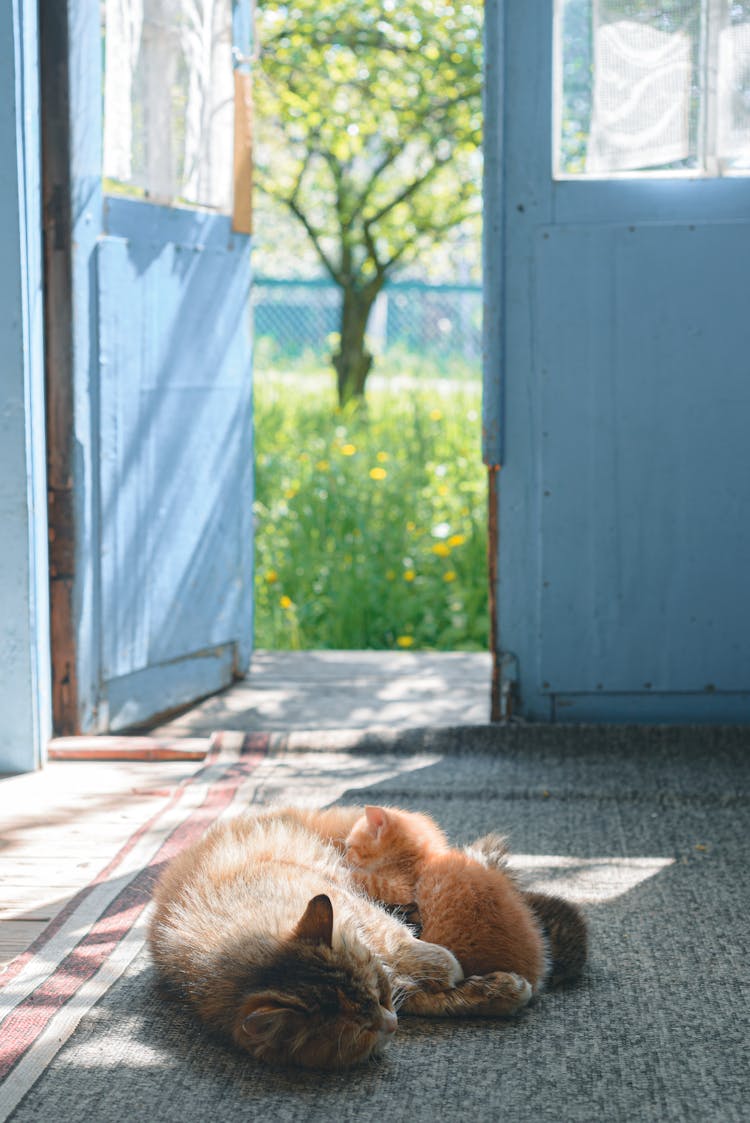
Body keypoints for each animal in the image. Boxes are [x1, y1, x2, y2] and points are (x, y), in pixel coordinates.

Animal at [343, 808, 545, 992]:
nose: (345, 856)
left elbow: (366, 880)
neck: (424, 861)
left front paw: (343, 867)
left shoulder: (402, 889)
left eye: (349, 847)